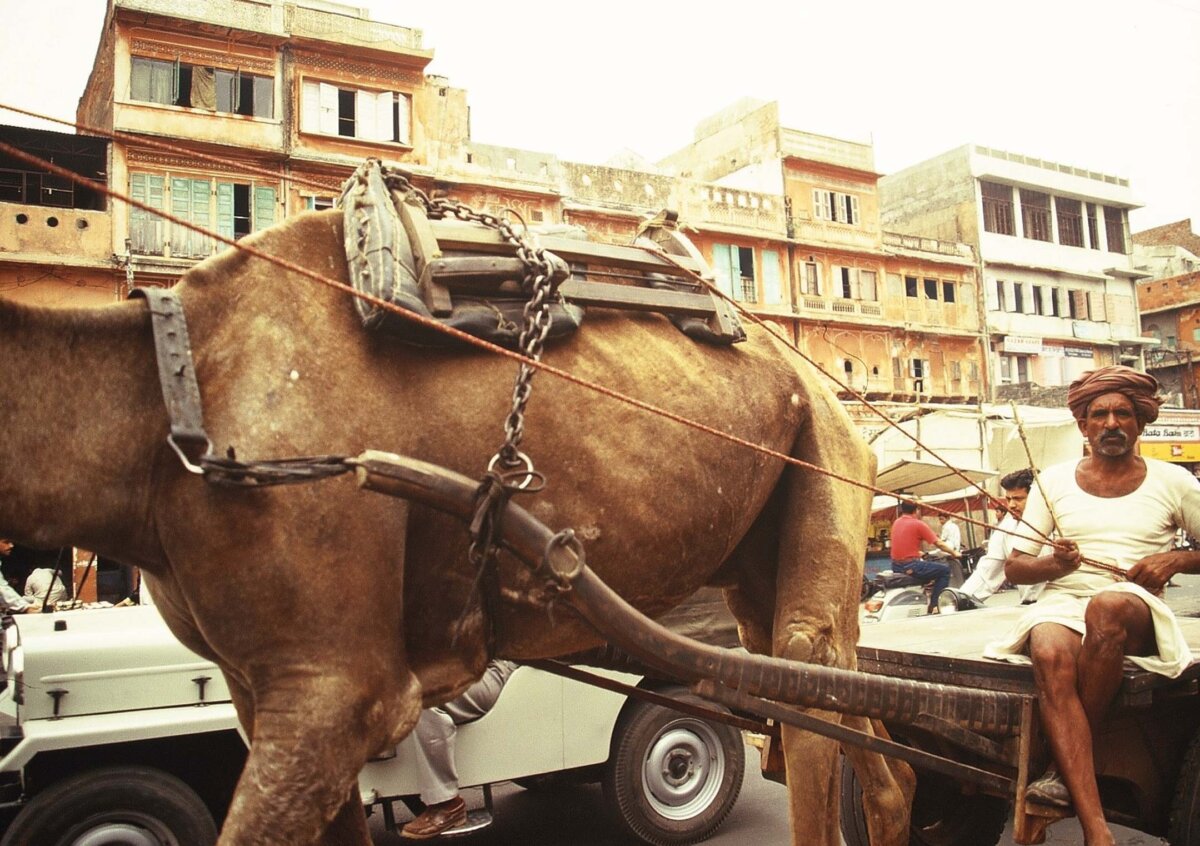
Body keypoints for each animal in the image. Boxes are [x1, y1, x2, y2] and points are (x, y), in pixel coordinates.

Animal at [0, 206, 907, 844]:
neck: (172, 389)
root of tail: (823, 387)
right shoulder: (254, 686)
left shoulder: (335, 684)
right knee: (825, 674)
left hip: (826, 452)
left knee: (803, 666)